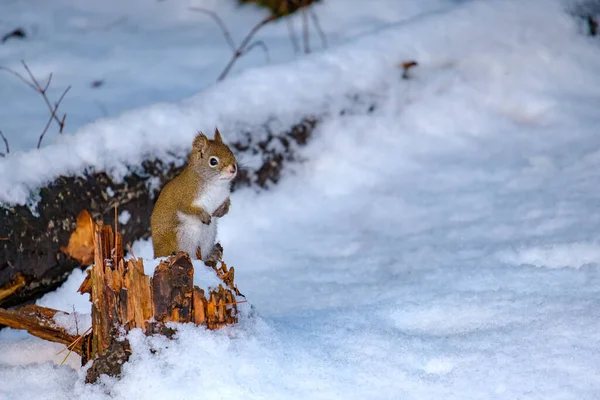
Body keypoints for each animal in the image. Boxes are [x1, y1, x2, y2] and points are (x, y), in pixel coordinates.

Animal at [151, 129, 238, 262]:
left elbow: (226, 204)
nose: (233, 169)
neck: (215, 185)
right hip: (178, 241)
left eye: (231, 151)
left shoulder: (223, 196)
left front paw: (221, 211)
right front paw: (203, 216)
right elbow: (187, 209)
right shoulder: (184, 196)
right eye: (213, 161)